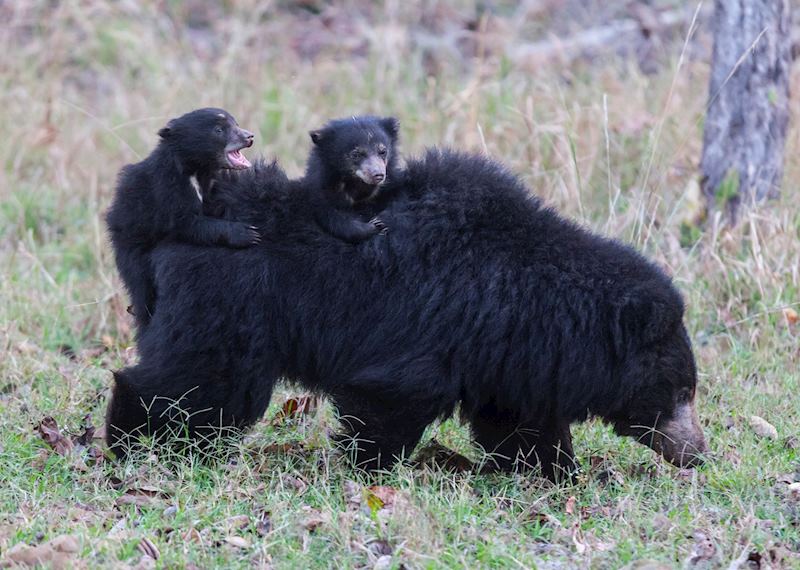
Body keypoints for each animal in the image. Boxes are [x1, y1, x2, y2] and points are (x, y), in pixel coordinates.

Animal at [105, 149, 707, 481]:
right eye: (680, 392)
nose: (697, 453)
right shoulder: (435, 327)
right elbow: (389, 399)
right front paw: (370, 469)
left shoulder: (506, 353)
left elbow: (517, 420)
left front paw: (554, 472)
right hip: (231, 304)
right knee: (198, 384)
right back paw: (135, 442)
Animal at [106, 107, 261, 329]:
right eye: (219, 130)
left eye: (236, 124)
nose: (249, 137)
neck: (197, 169)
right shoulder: (166, 187)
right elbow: (186, 223)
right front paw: (247, 233)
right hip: (131, 244)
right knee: (140, 285)